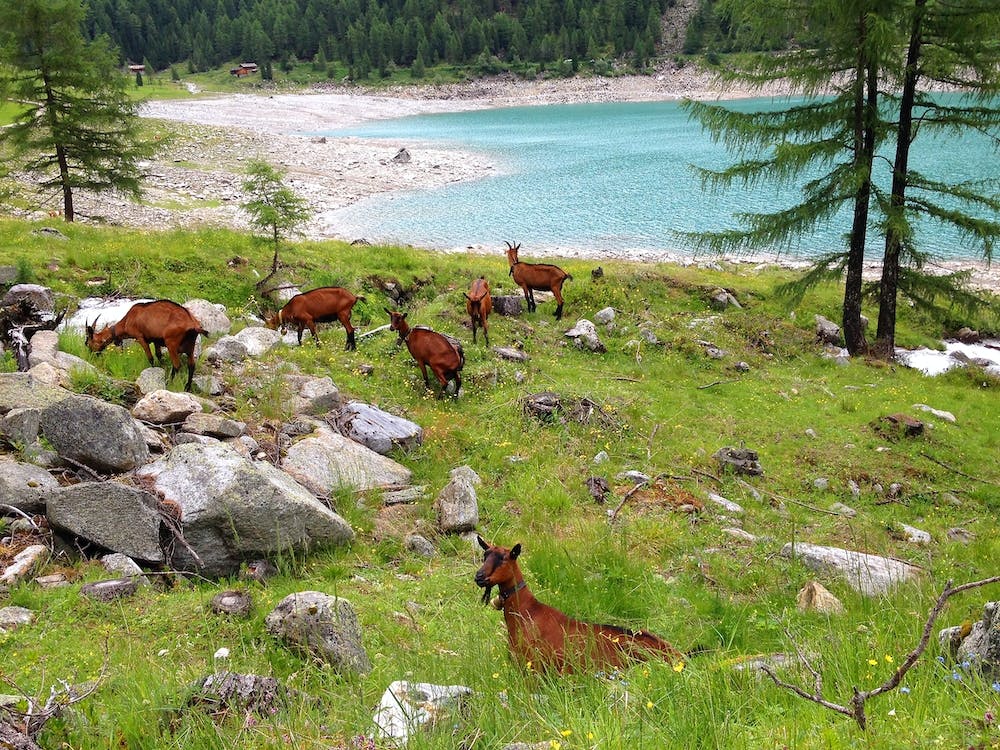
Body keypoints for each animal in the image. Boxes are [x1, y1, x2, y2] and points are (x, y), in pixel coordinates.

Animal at [475, 535, 684, 673]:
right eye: (485, 555)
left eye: (504, 559)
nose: (479, 577)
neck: (527, 611)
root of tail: (680, 656)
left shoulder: (533, 667)